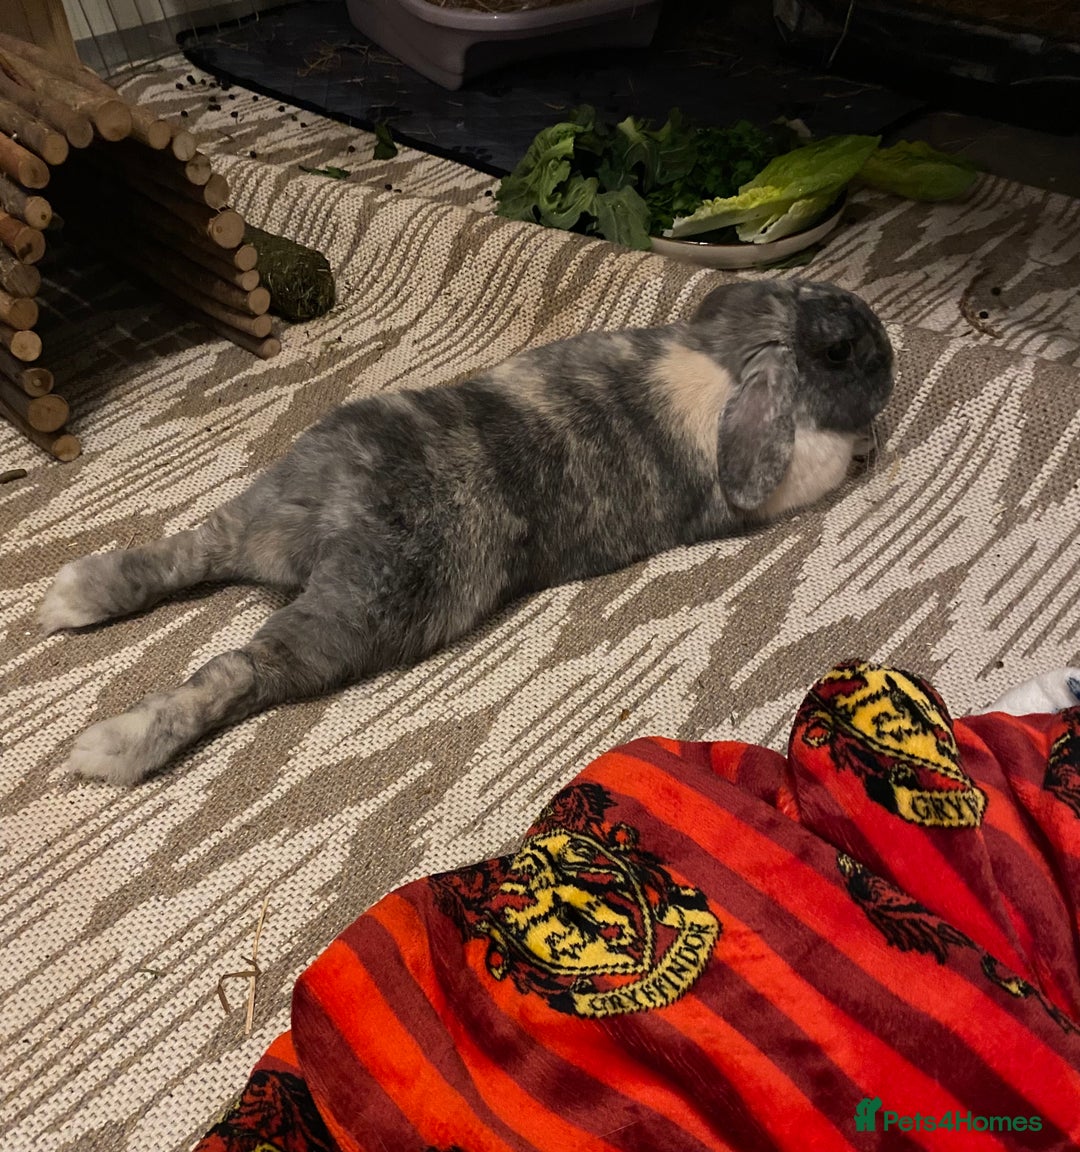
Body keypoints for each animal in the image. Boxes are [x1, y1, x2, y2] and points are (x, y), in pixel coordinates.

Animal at [40, 279, 894, 785]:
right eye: (840, 350)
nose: (890, 354)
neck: (725, 356)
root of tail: (342, 508)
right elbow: (819, 461)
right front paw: (863, 447)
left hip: (270, 508)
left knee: (190, 552)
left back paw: (77, 594)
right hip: (361, 616)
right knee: (237, 669)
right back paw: (111, 747)